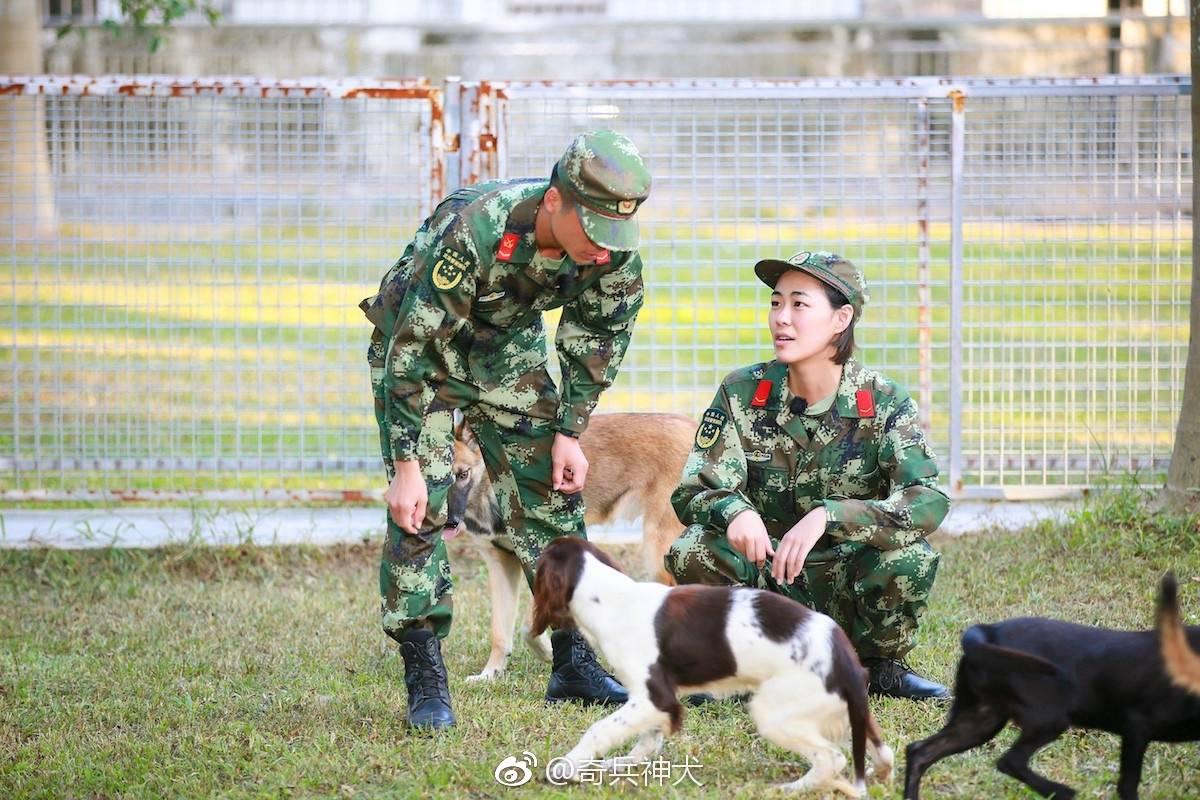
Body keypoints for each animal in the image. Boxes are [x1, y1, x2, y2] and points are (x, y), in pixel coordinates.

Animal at [448, 412, 696, 681]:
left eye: (462, 475)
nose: (450, 521)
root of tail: (692, 424)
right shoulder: (500, 564)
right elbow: (500, 632)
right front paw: (490, 673)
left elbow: (528, 623)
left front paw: (547, 649)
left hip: (657, 553)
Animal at [902, 573, 1200, 800]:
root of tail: (987, 631)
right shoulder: (1136, 726)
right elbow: (1128, 784)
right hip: (1047, 718)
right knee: (1010, 761)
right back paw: (1060, 791)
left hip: (980, 719)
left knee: (920, 752)